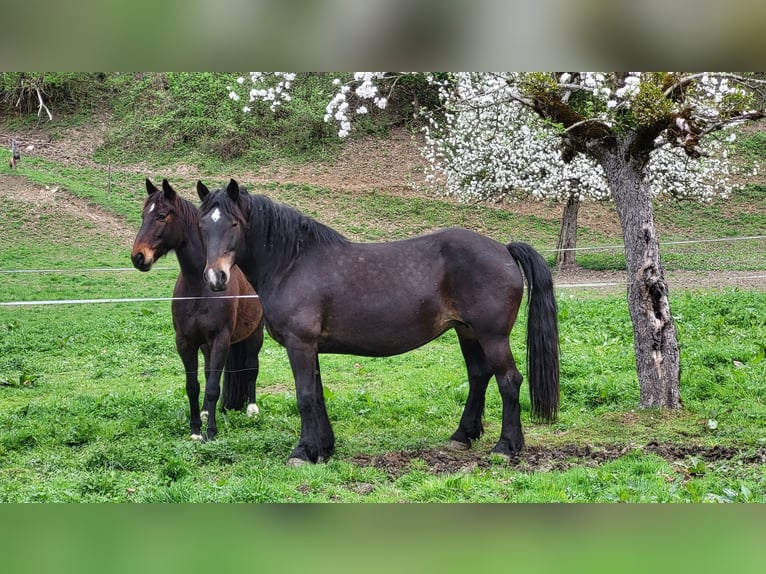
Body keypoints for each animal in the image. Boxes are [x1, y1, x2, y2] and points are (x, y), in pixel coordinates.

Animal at [130, 180, 266, 440]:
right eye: (143, 216)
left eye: (161, 216)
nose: (138, 257)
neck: (199, 288)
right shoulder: (186, 341)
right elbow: (193, 385)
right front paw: (195, 430)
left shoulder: (221, 339)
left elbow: (213, 386)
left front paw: (211, 432)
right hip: (206, 345)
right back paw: (204, 412)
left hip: (255, 334)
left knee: (251, 366)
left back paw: (252, 409)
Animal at [196, 180, 560, 468]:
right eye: (202, 226)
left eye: (233, 224)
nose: (215, 278)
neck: (293, 262)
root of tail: (504, 249)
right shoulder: (312, 347)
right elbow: (318, 394)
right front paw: (324, 448)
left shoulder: (300, 344)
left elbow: (304, 396)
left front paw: (302, 452)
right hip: (467, 332)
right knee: (479, 377)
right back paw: (462, 436)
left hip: (492, 336)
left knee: (509, 381)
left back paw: (506, 447)